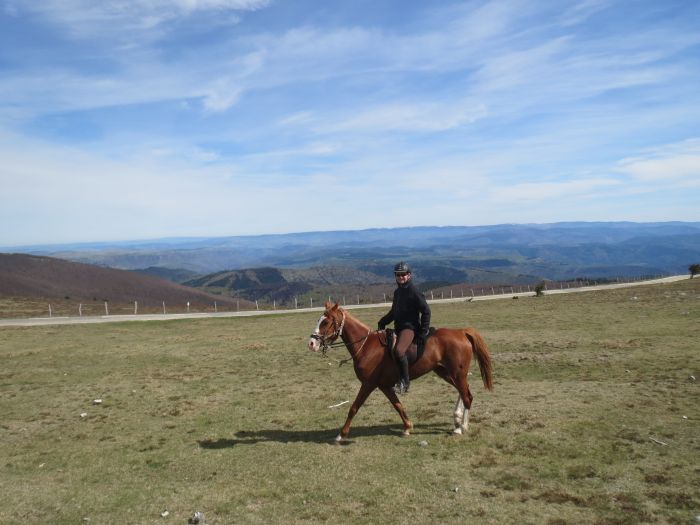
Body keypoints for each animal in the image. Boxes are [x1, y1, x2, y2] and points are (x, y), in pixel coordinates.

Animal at [306, 300, 492, 440]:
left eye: (326, 322)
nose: (312, 343)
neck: (366, 346)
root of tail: (462, 332)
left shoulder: (368, 384)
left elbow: (354, 407)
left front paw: (342, 434)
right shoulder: (384, 386)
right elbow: (398, 405)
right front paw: (408, 427)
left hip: (457, 374)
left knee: (467, 396)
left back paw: (461, 427)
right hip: (446, 372)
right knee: (464, 391)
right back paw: (457, 418)